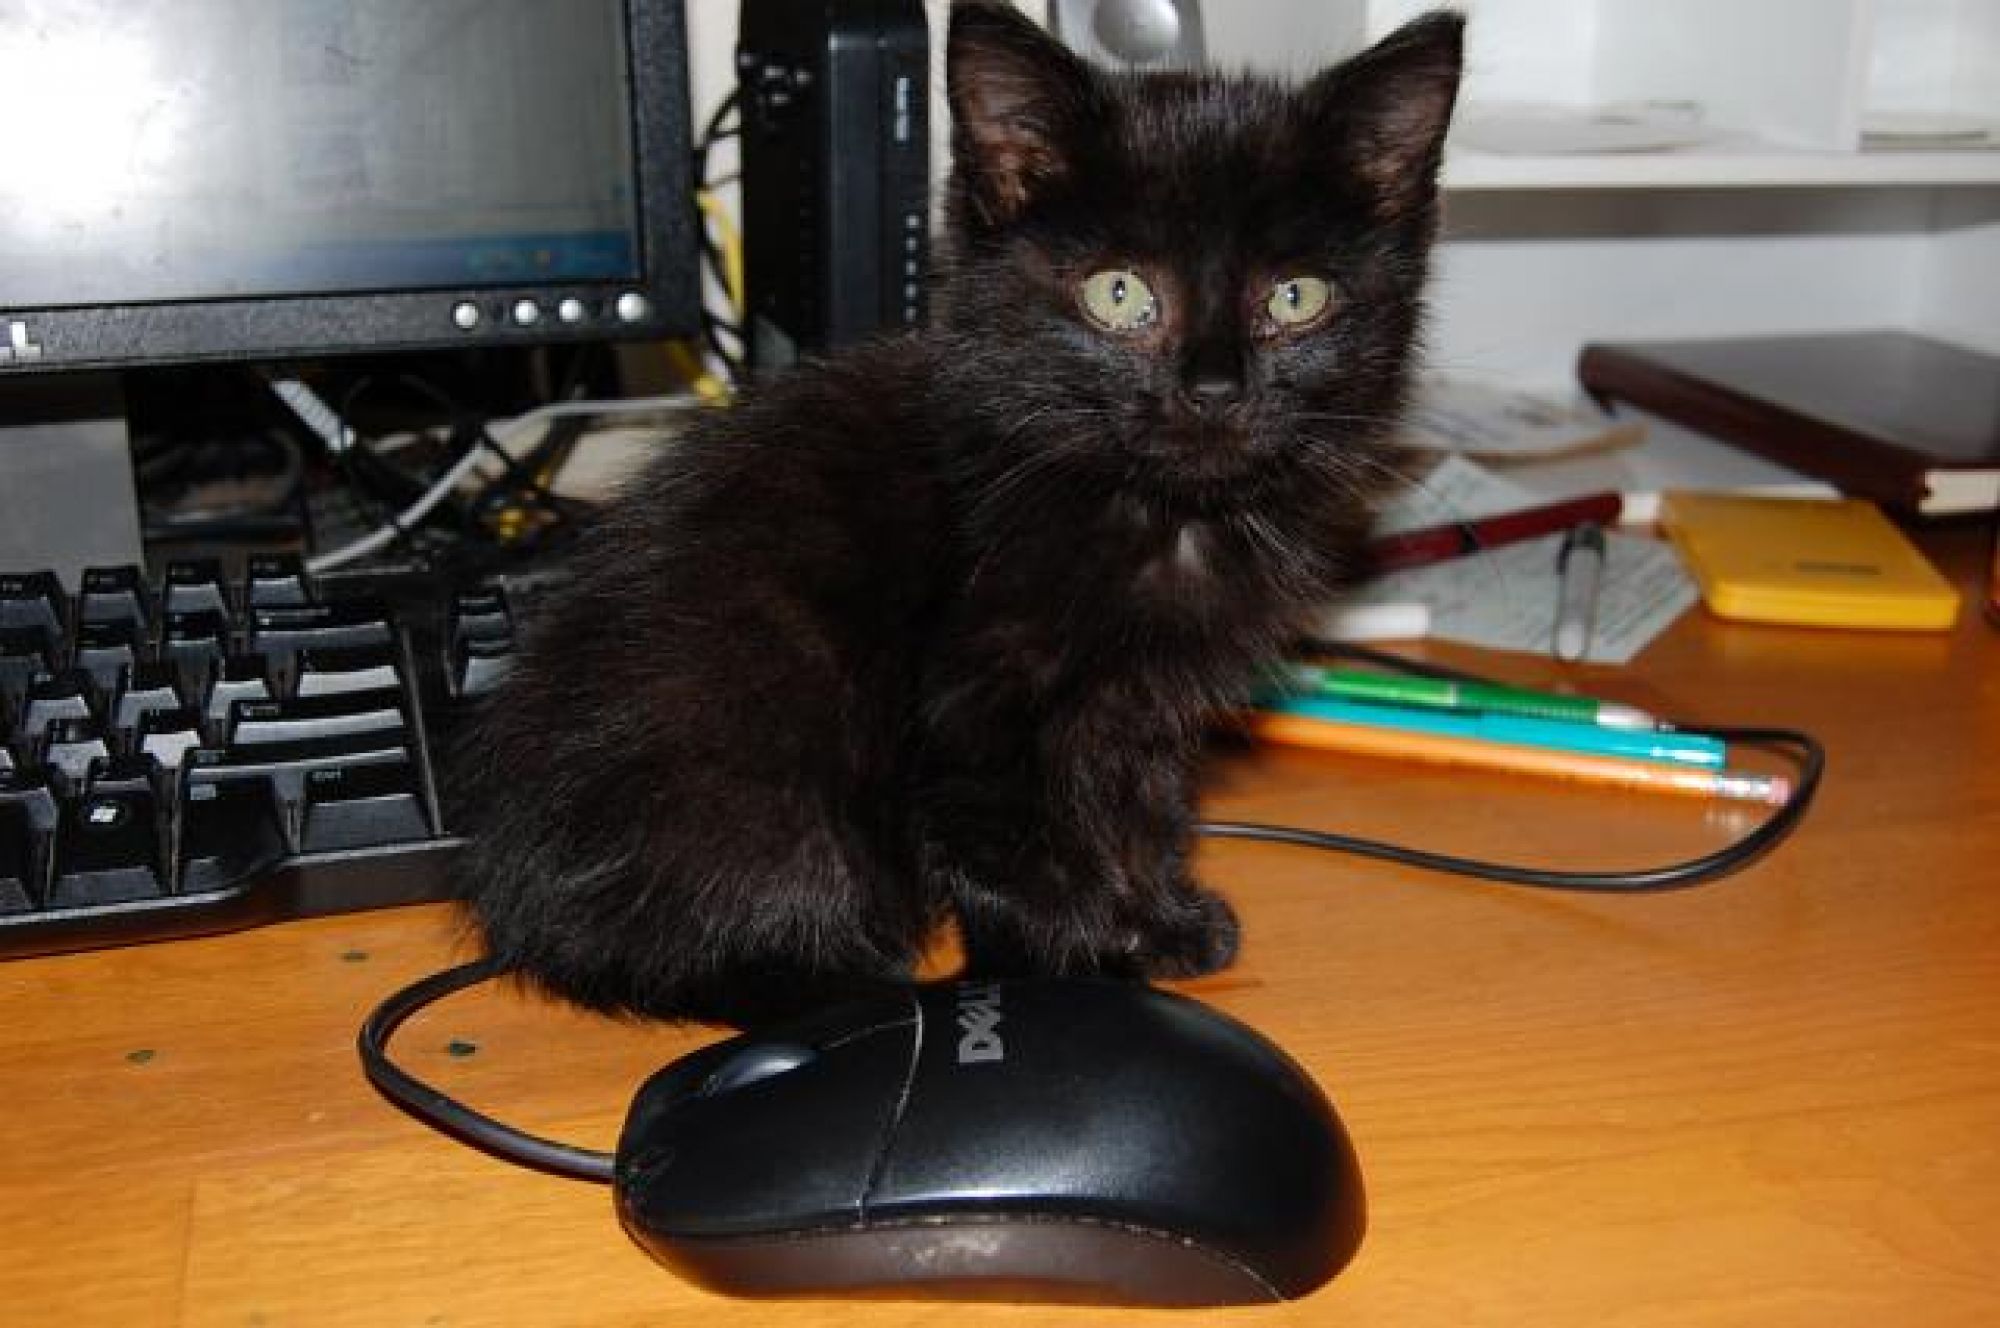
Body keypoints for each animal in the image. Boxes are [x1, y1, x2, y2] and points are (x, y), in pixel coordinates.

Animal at [447, 1, 1463, 1028]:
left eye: (1297, 298)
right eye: (1120, 293)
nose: (1214, 392)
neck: (1155, 512)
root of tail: (525, 908)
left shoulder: (1136, 708)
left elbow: (1135, 810)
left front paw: (1157, 923)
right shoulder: (976, 712)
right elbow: (1022, 859)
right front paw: (1076, 971)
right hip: (769, 777)